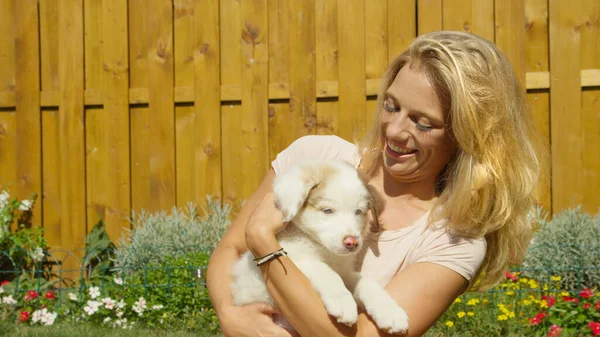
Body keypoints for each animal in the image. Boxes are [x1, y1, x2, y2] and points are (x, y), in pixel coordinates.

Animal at [230, 159, 408, 332]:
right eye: (327, 210)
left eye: (358, 211)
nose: (352, 242)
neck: (319, 246)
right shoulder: (298, 261)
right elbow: (326, 271)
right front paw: (343, 302)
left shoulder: (345, 272)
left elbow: (365, 281)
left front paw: (391, 312)